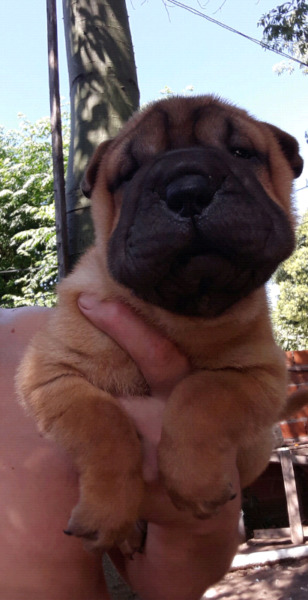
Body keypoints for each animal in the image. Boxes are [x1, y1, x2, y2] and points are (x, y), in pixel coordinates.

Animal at [16, 96, 304, 552]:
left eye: (242, 152)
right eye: (128, 173)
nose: (188, 190)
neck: (177, 315)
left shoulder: (261, 376)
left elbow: (199, 392)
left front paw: (195, 481)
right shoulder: (51, 375)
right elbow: (104, 422)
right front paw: (107, 511)